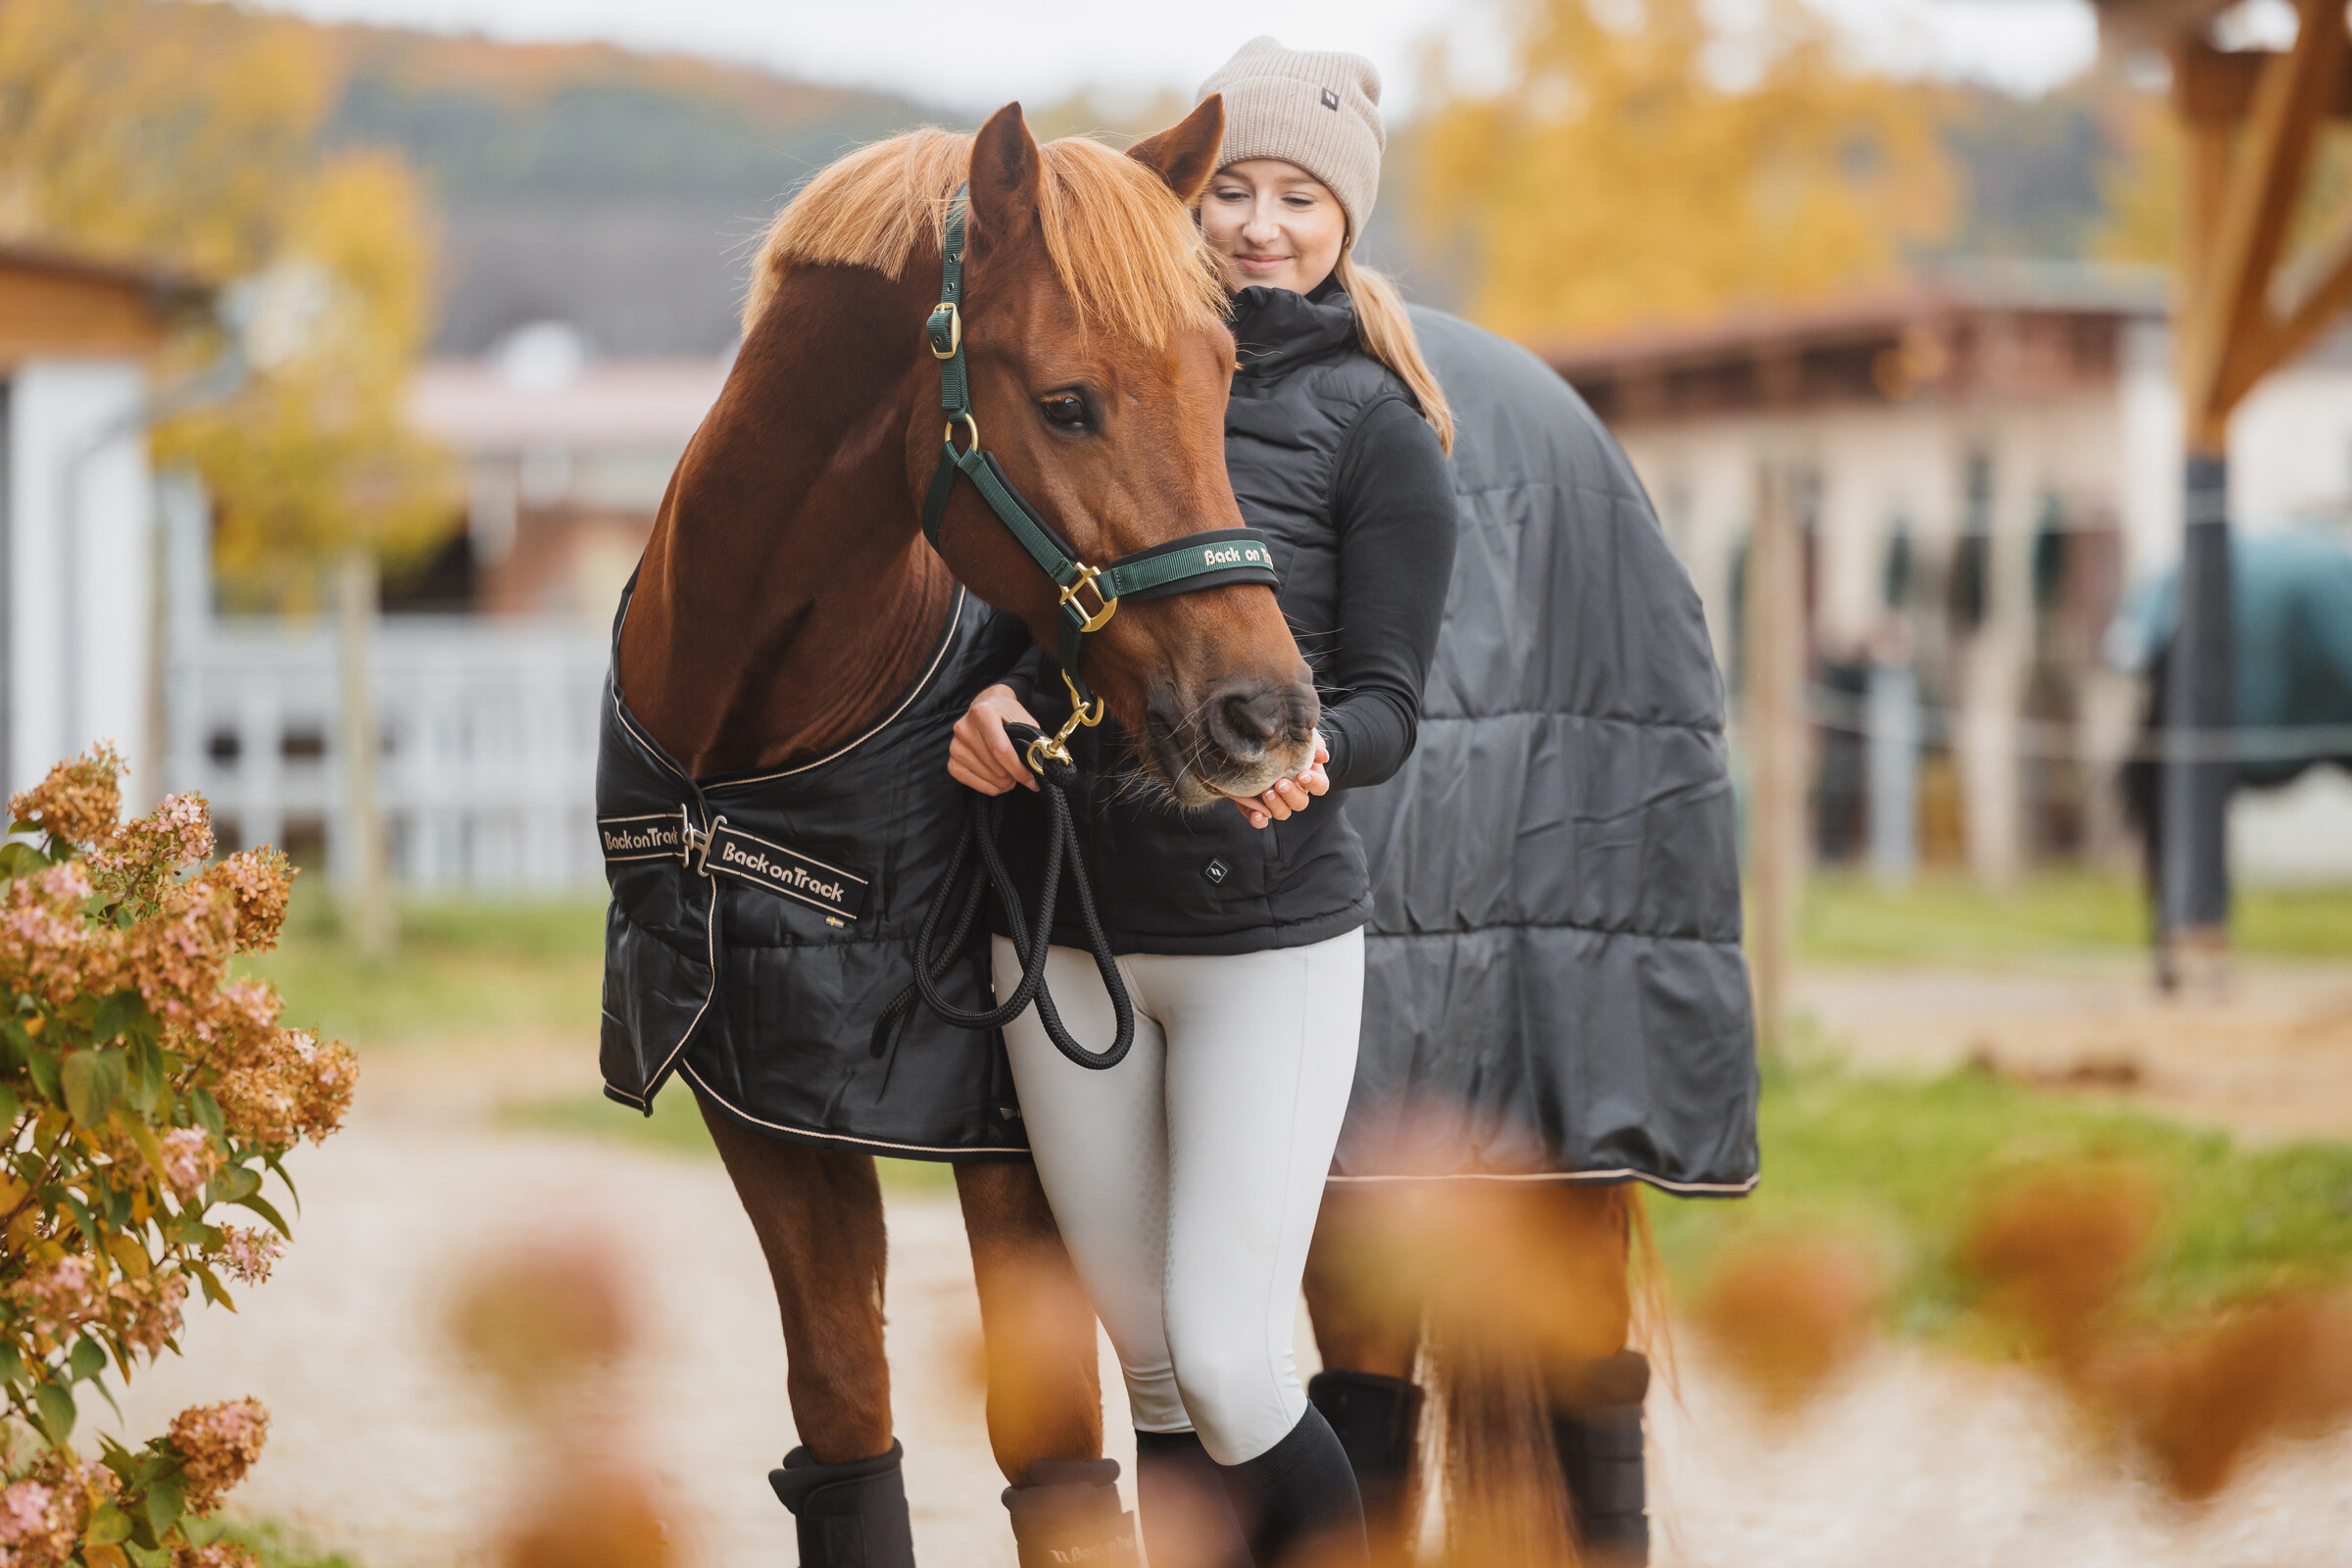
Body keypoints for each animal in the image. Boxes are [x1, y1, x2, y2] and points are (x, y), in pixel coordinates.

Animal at [607, 98, 1320, 1564]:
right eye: (1065, 402)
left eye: (1223, 374)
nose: (1265, 716)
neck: (741, 751)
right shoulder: (763, 1100)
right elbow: (843, 1414)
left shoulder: (1007, 1151)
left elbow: (1054, 1459)